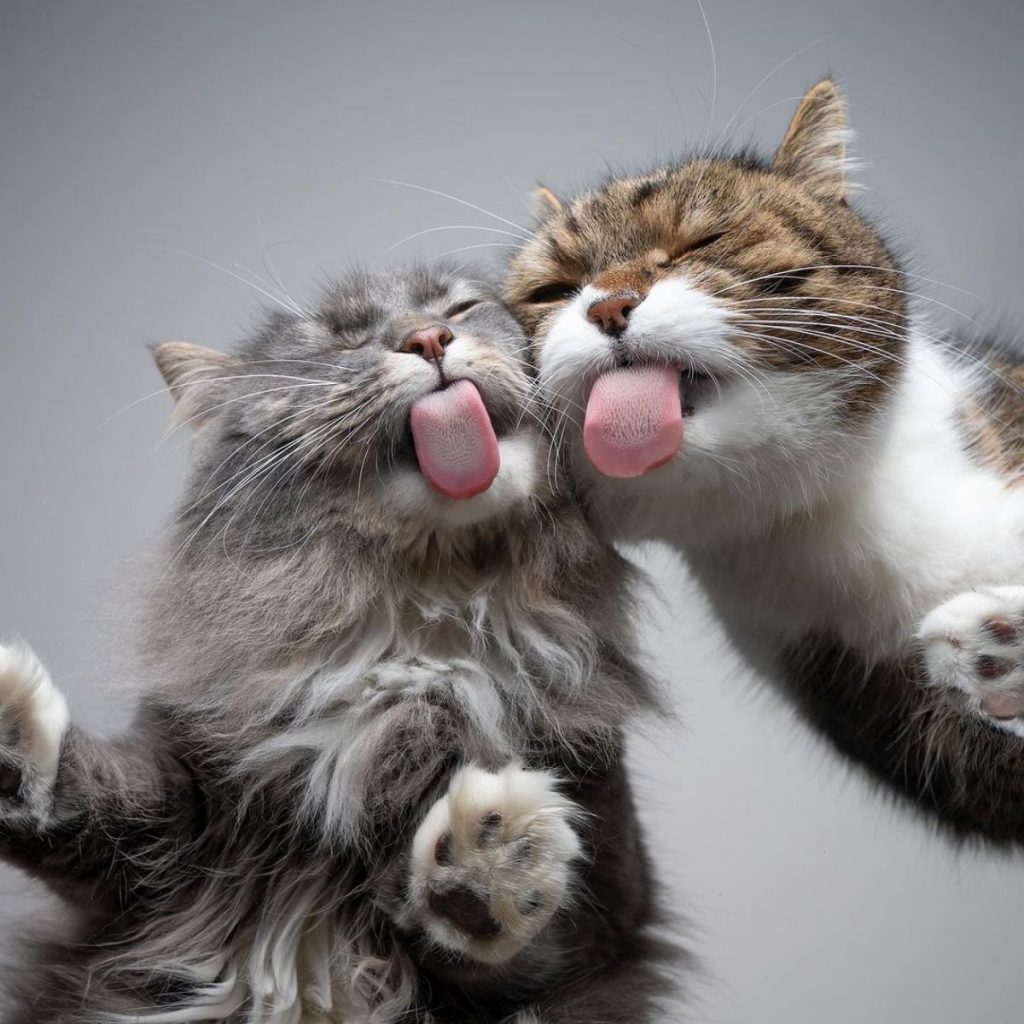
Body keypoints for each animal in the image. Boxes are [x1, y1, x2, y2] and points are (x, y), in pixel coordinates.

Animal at [0, 270, 675, 1024]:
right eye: (345, 340)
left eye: (460, 308)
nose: (428, 337)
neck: (419, 633)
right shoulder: (166, 836)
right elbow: (93, 791)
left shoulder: (600, 925)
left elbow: (515, 933)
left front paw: (488, 864)